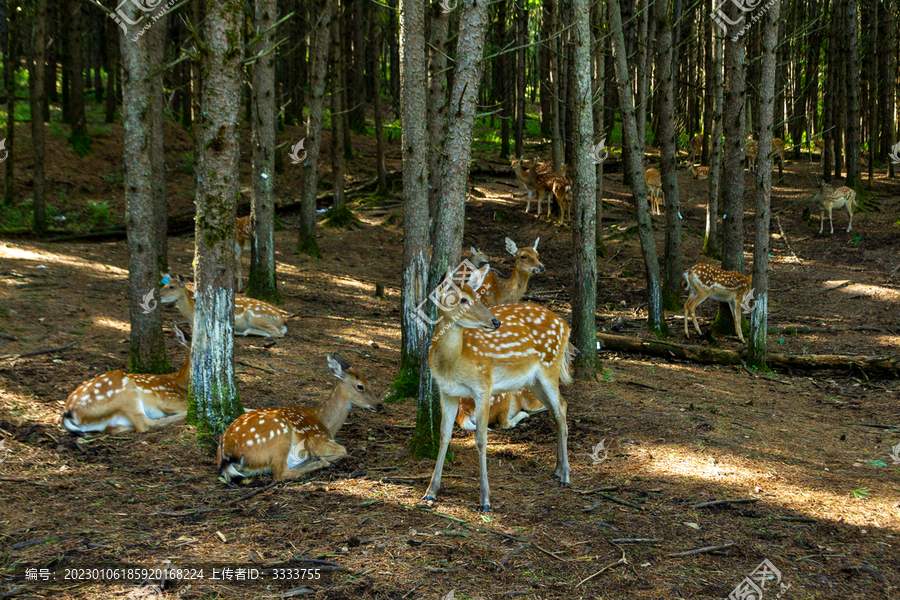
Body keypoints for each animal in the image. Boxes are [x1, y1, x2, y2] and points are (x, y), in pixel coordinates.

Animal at [62, 326, 192, 434]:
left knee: (112, 428)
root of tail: (68, 413)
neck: (180, 383)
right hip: (125, 391)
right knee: (145, 424)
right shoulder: (169, 399)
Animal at [221, 354, 384, 480]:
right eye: (360, 386)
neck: (325, 423)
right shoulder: (317, 439)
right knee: (281, 474)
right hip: (280, 436)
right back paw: (319, 462)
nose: (379, 405)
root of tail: (226, 456)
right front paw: (322, 458)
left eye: (370, 383)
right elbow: (343, 450)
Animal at [426, 262, 572, 510]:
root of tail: (566, 325)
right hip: (533, 380)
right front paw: (430, 492)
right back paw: (557, 470)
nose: (495, 321)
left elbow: (481, 439)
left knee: (561, 407)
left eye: (478, 296)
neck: (453, 364)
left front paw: (485, 500)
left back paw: (566, 476)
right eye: (462, 299)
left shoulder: (483, 385)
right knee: (557, 409)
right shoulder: (446, 391)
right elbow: (444, 435)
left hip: (550, 367)